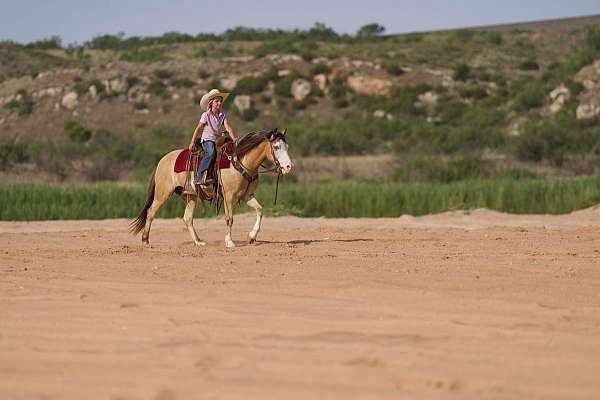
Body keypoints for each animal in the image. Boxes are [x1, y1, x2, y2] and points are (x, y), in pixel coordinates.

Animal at [130, 128, 294, 247]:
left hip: (190, 196)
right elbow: (229, 218)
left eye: (287, 146)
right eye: (276, 147)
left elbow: (260, 210)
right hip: (163, 193)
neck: (240, 161)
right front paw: (229, 242)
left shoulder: (247, 195)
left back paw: (198, 241)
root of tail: (162, 161)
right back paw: (145, 240)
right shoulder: (228, 196)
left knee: (187, 218)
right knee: (151, 212)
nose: (288, 167)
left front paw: (252, 236)